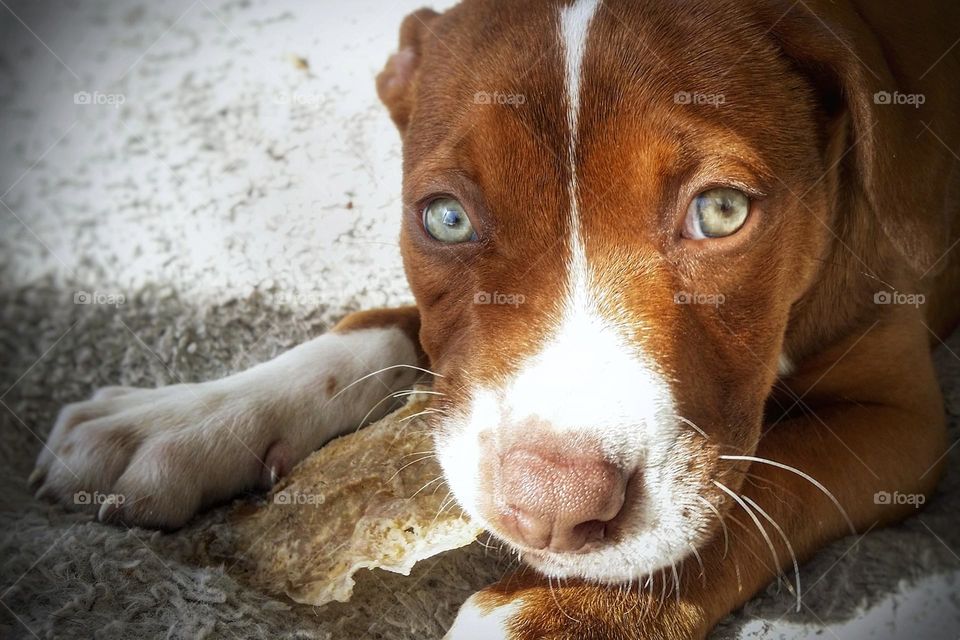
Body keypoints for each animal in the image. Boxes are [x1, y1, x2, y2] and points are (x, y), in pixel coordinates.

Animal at [31, 0, 960, 636]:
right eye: (445, 218)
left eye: (723, 211)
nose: (552, 509)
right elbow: (379, 326)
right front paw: (183, 417)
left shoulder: (900, 422)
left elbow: (756, 488)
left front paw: (550, 615)